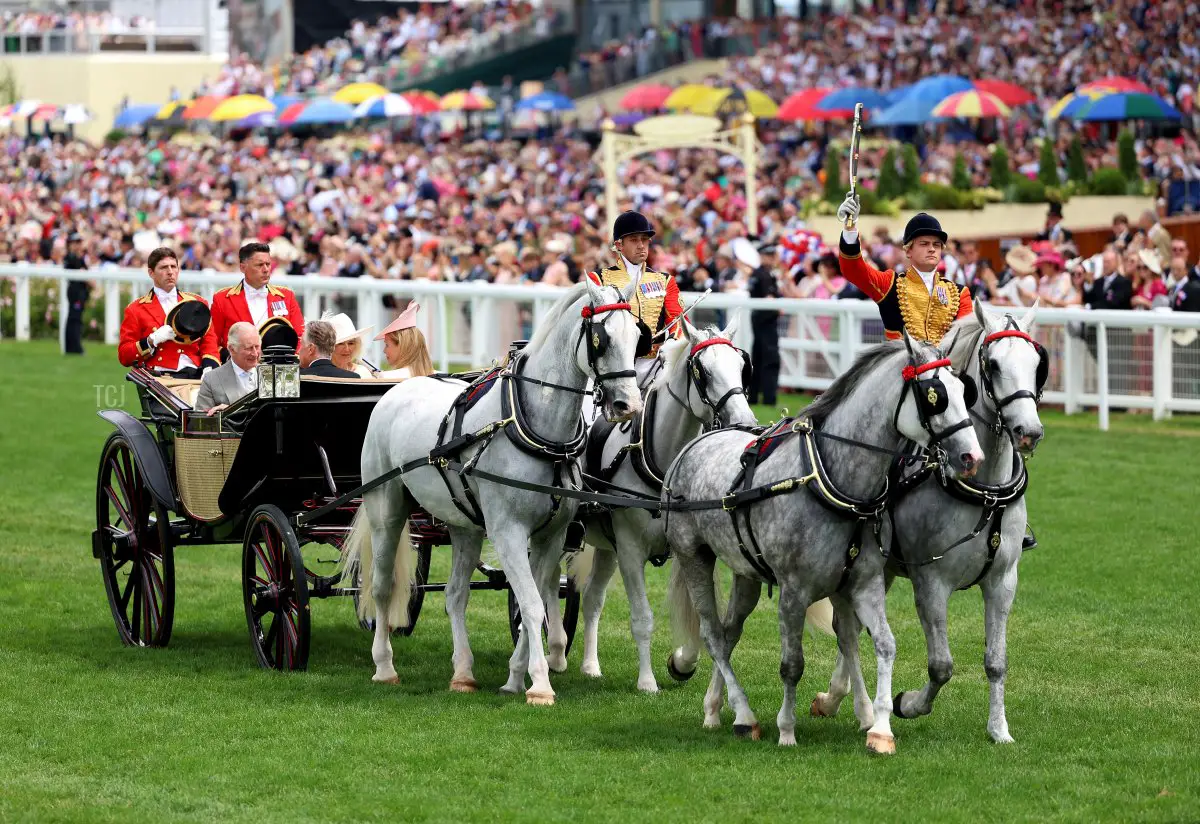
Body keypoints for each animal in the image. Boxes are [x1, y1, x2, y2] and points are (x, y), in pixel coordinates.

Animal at [345, 280, 648, 705]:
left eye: (638, 337)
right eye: (600, 339)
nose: (628, 405)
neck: (536, 429)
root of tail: (397, 387)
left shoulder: (551, 535)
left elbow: (531, 601)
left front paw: (516, 677)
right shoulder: (508, 531)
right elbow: (533, 604)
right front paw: (539, 684)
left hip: (463, 524)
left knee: (455, 594)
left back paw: (463, 672)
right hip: (386, 509)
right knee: (382, 586)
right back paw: (385, 666)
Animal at [667, 335, 984, 753]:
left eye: (966, 391)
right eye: (935, 396)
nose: (972, 457)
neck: (829, 478)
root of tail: (698, 442)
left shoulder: (865, 584)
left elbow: (884, 644)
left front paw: (881, 727)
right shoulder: (793, 591)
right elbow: (792, 664)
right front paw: (787, 729)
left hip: (746, 571)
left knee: (731, 630)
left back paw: (716, 708)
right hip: (694, 556)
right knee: (713, 636)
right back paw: (745, 713)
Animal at [811, 299, 1046, 743]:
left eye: (1037, 362)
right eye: (993, 364)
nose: (1029, 431)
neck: (985, 491)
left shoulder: (1003, 582)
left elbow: (996, 661)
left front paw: (999, 729)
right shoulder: (931, 582)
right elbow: (941, 665)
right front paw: (907, 704)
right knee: (847, 630)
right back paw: (842, 701)